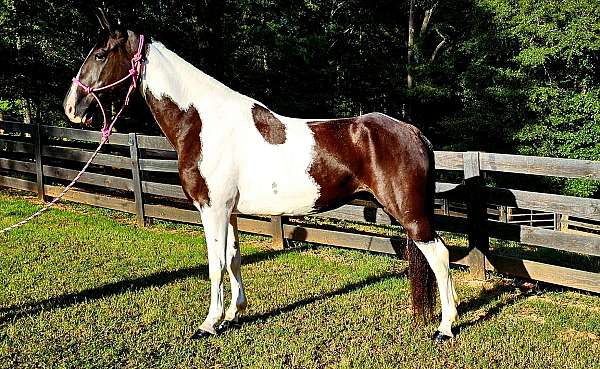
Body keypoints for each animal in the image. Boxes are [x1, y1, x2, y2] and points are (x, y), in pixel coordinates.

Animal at [63, 10, 460, 342]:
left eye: (101, 55)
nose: (71, 108)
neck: (203, 122)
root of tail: (414, 132)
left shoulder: (212, 208)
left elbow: (214, 264)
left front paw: (208, 324)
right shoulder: (229, 211)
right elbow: (233, 259)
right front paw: (233, 314)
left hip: (410, 214)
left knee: (440, 255)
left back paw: (445, 328)